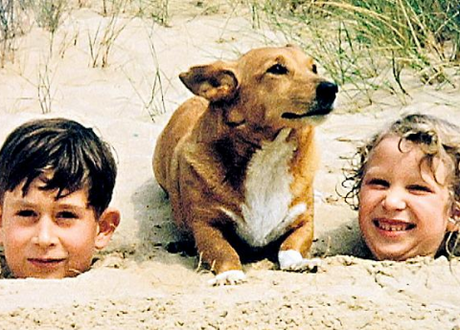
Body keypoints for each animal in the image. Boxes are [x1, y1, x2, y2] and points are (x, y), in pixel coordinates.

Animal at [155, 45, 338, 284]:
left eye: (314, 68)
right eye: (276, 69)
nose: (331, 88)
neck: (270, 155)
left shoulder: (304, 222)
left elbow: (291, 245)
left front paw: (298, 263)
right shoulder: (205, 226)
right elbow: (223, 250)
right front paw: (231, 273)